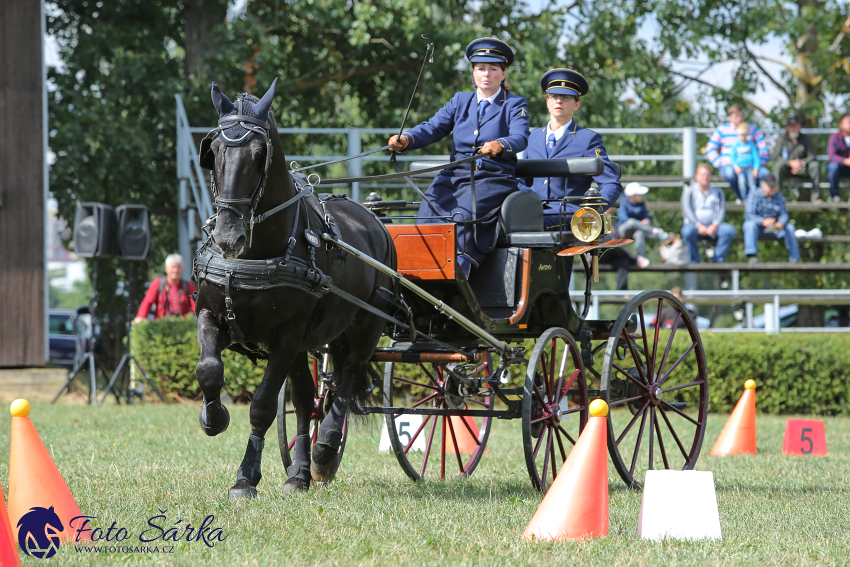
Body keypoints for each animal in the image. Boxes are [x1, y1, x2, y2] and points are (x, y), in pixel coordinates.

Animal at [193, 80, 394, 496]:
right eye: (214, 150)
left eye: (259, 155)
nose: (228, 236)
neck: (256, 254)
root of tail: (374, 219)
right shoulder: (210, 313)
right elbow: (209, 369)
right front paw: (213, 416)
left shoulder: (285, 335)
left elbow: (263, 405)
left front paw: (246, 476)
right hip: (308, 343)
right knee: (306, 400)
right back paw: (300, 472)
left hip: (365, 327)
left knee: (349, 376)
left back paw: (325, 448)